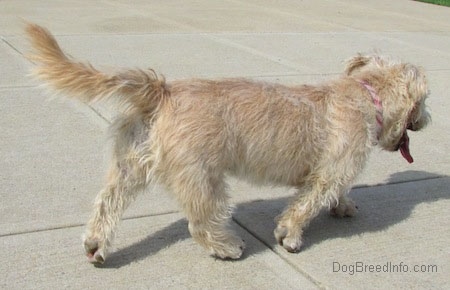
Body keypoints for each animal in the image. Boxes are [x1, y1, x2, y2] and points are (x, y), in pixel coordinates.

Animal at [25, 23, 428, 264]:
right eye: (425, 102)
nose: (427, 120)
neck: (366, 94)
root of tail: (162, 90)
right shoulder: (329, 173)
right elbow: (305, 205)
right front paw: (290, 236)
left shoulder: (332, 172)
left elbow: (334, 193)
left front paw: (342, 207)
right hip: (203, 178)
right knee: (200, 222)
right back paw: (226, 247)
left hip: (130, 166)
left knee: (106, 205)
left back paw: (96, 244)